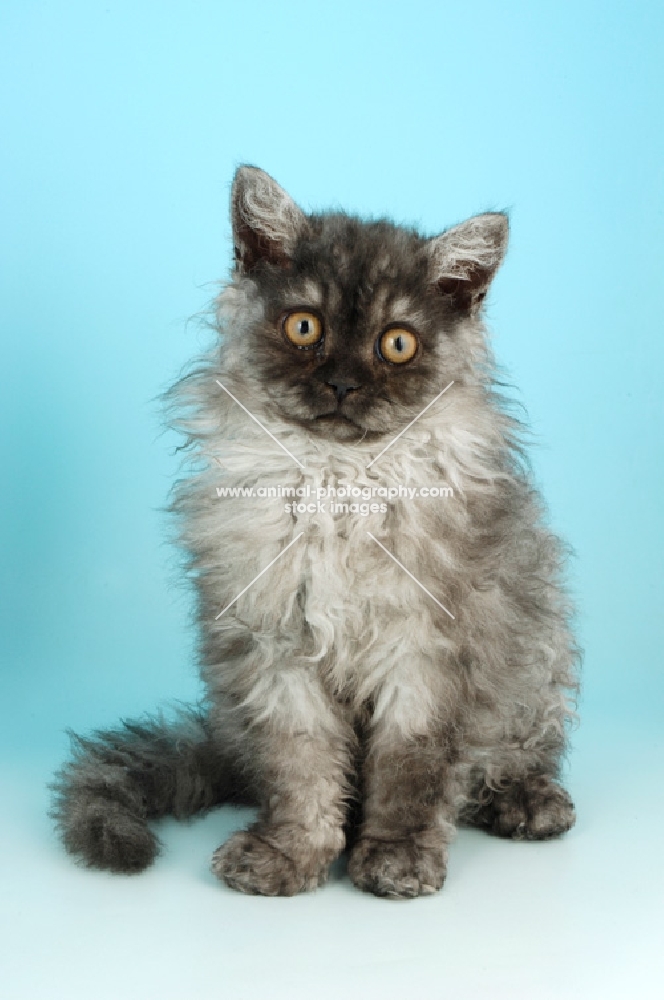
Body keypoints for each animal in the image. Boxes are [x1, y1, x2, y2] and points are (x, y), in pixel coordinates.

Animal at [52, 164, 580, 900]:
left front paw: (394, 855)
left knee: (519, 754)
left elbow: (410, 771)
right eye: (305, 327)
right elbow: (300, 769)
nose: (341, 384)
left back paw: (526, 800)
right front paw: (291, 853)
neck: (339, 482)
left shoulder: (427, 649)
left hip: (539, 657)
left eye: (397, 343)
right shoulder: (275, 645)